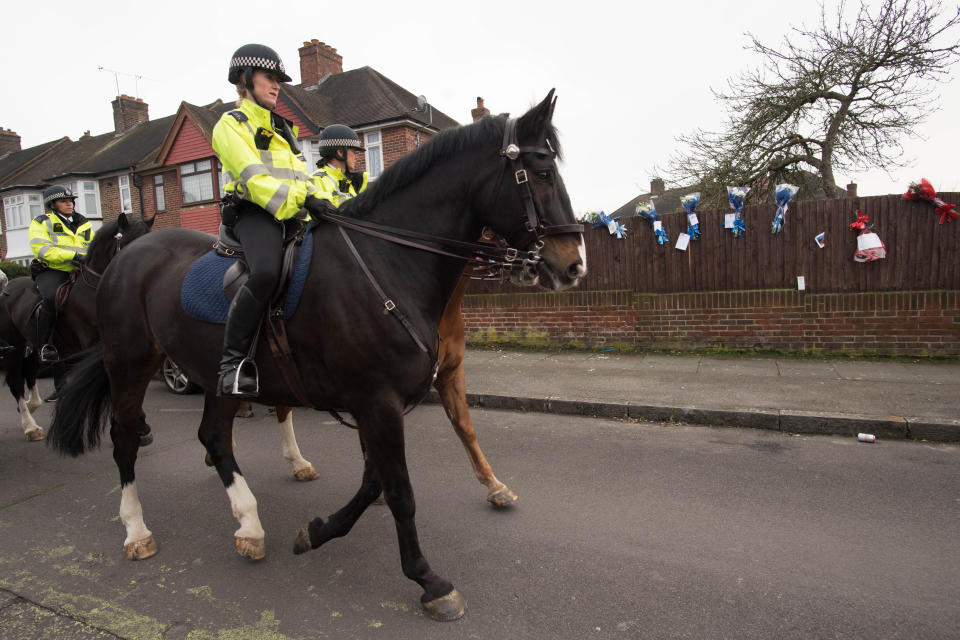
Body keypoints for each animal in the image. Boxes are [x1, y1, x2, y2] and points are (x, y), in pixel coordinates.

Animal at [0, 215, 152, 440]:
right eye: (129, 243)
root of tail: (8, 287)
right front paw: (135, 424)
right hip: (14, 348)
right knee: (16, 383)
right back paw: (30, 426)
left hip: (32, 347)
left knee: (30, 376)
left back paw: (32, 405)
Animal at [48, 91, 584, 620]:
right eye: (540, 172)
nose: (573, 266)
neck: (387, 264)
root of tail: (126, 258)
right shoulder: (378, 403)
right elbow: (398, 491)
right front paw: (429, 580)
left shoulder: (378, 404)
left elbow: (375, 483)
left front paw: (318, 531)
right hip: (129, 365)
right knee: (124, 440)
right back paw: (137, 531)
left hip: (215, 375)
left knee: (215, 438)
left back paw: (249, 524)